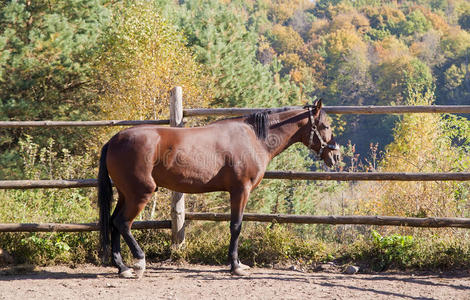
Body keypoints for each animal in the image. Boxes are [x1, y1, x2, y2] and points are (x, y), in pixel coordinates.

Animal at [98, 99, 342, 278]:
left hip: (126, 194)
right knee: (123, 223)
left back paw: (122, 267)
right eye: (325, 126)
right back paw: (138, 262)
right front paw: (235, 265)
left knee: (114, 222)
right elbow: (236, 226)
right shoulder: (240, 191)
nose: (336, 156)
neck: (254, 138)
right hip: (140, 194)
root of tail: (114, 140)